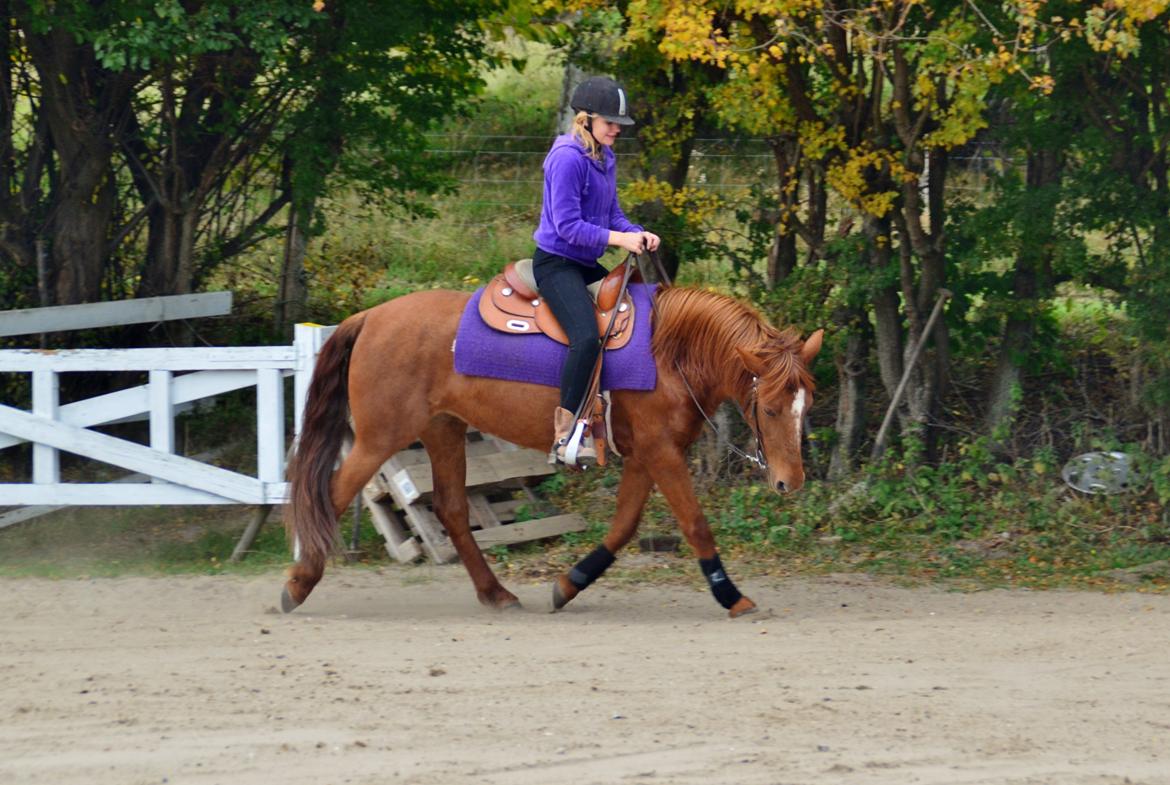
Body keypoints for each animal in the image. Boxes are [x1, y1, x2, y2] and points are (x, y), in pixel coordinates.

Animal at [281, 284, 823, 622]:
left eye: (807, 403)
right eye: (770, 408)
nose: (789, 482)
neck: (668, 353)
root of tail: (371, 316)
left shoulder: (645, 454)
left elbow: (623, 525)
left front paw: (570, 583)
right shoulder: (661, 452)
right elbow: (695, 524)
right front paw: (731, 595)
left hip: (443, 430)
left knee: (453, 510)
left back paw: (496, 593)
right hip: (380, 438)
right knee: (329, 495)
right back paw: (297, 585)